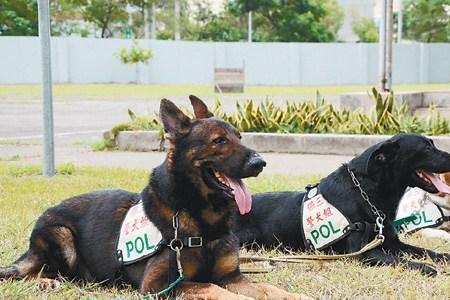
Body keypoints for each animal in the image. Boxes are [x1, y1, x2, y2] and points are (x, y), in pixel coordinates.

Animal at [0, 97, 310, 298]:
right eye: (219, 141)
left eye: (239, 136)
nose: (261, 163)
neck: (203, 220)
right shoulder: (159, 285)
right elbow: (214, 289)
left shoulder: (232, 277)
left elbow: (270, 288)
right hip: (61, 235)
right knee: (32, 273)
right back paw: (45, 284)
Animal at [236, 135, 450, 276]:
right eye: (427, 148)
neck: (367, 193)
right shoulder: (363, 253)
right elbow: (402, 261)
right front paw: (426, 267)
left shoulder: (392, 243)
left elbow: (426, 251)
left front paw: (444, 257)